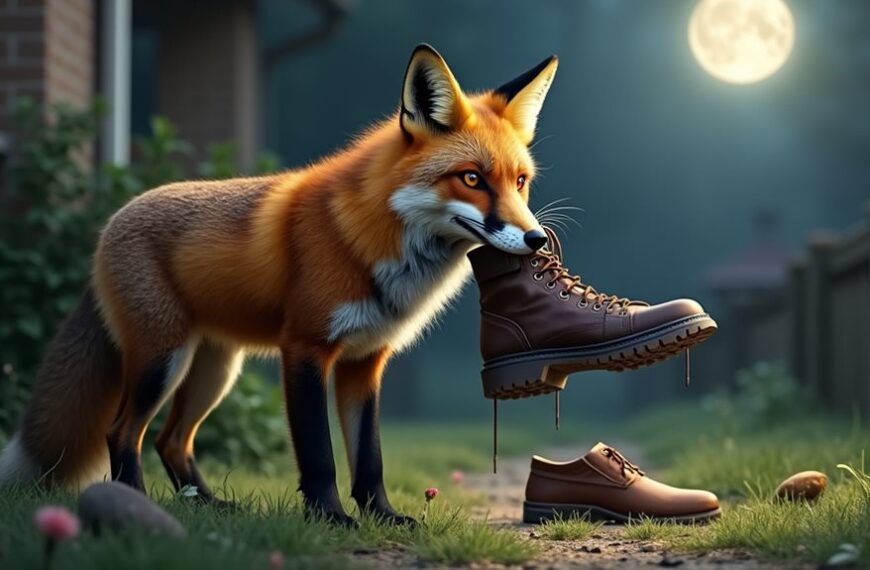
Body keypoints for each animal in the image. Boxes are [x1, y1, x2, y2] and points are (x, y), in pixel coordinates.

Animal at [0, 44, 558, 524]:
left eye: (520, 182)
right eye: (471, 179)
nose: (535, 238)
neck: (372, 240)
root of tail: (112, 222)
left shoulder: (365, 362)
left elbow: (369, 457)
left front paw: (383, 517)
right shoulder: (305, 348)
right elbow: (319, 454)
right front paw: (331, 518)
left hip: (215, 371)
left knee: (171, 441)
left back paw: (209, 506)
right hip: (162, 361)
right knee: (123, 434)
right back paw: (138, 502)